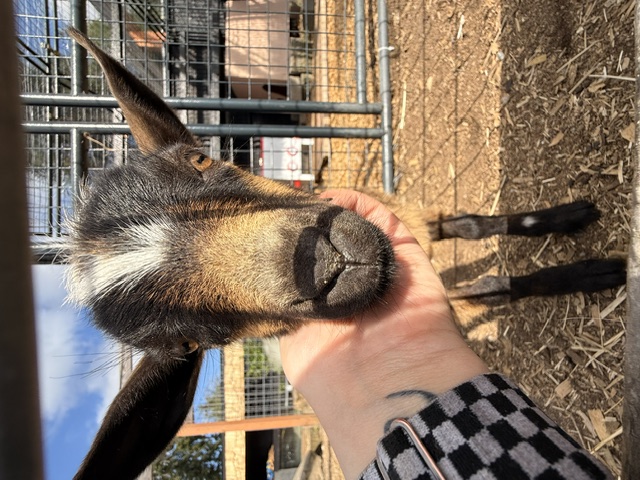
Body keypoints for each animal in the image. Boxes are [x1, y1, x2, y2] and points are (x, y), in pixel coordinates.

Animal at [64, 28, 625, 479]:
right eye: (190, 342)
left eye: (201, 160)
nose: (324, 263)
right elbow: (493, 287)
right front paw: (600, 272)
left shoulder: (406, 210)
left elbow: (470, 223)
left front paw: (570, 219)